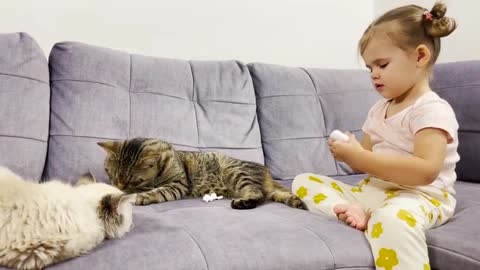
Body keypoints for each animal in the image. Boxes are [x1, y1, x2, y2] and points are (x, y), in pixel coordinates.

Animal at [98, 138, 308, 210]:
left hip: (239, 174)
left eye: (133, 179)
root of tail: (266, 172)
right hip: (267, 189)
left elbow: (159, 191)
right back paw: (295, 201)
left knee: (258, 194)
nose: (119, 186)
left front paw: (142, 196)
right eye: (111, 173)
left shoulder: (179, 185)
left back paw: (243, 203)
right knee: (274, 194)